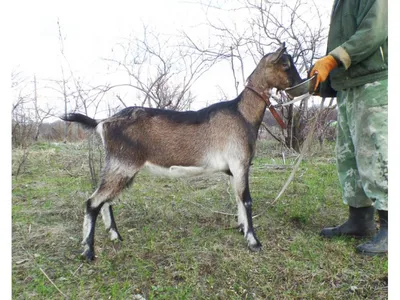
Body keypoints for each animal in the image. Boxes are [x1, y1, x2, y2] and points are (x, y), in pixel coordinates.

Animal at [61, 42, 302, 260]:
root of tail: (103, 122)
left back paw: (115, 236)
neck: (241, 113)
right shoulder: (240, 163)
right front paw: (254, 242)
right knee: (93, 202)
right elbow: (247, 200)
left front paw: (242, 229)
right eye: (286, 64)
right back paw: (88, 251)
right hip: (123, 164)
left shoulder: (233, 170)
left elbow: (238, 199)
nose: (300, 85)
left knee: (106, 201)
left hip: (121, 167)